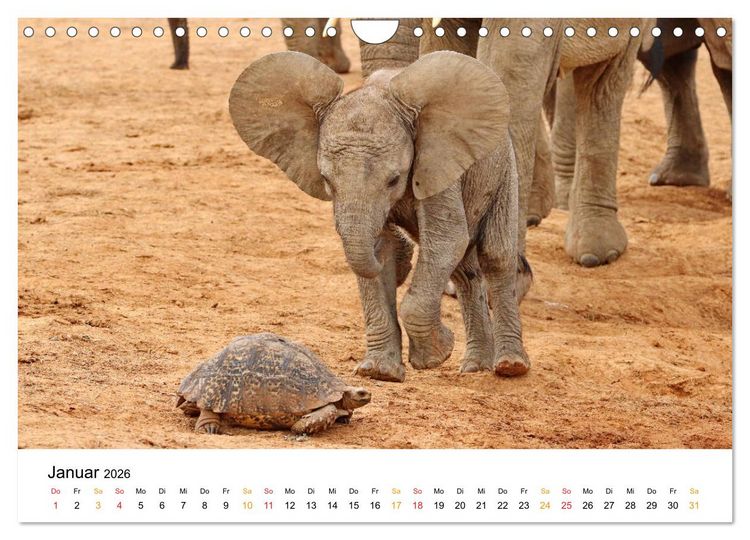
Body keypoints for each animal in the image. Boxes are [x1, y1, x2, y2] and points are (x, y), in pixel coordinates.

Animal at [229, 51, 531, 382]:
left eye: (394, 180)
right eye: (327, 181)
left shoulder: (436, 164)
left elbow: (447, 239)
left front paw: (436, 355)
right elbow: (392, 250)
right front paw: (379, 372)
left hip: (504, 169)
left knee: (494, 256)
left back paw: (510, 366)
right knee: (465, 271)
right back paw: (475, 367)